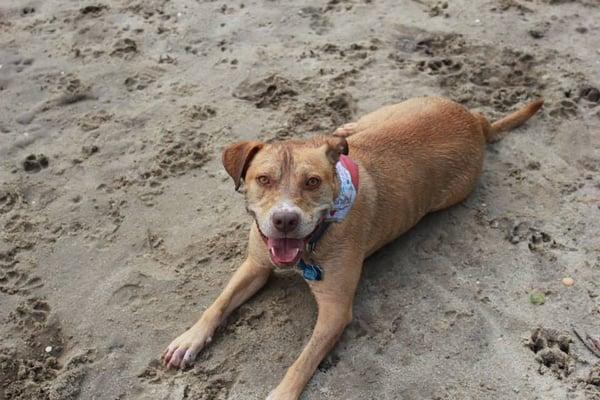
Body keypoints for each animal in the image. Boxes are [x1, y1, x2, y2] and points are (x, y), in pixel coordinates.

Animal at [163, 96, 544, 396]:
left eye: (312, 182)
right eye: (263, 179)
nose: (284, 220)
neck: (312, 243)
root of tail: (475, 121)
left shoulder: (335, 311)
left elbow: (303, 361)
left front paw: (282, 393)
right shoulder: (255, 265)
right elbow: (217, 304)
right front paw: (189, 339)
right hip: (390, 113)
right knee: (348, 132)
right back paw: (342, 130)